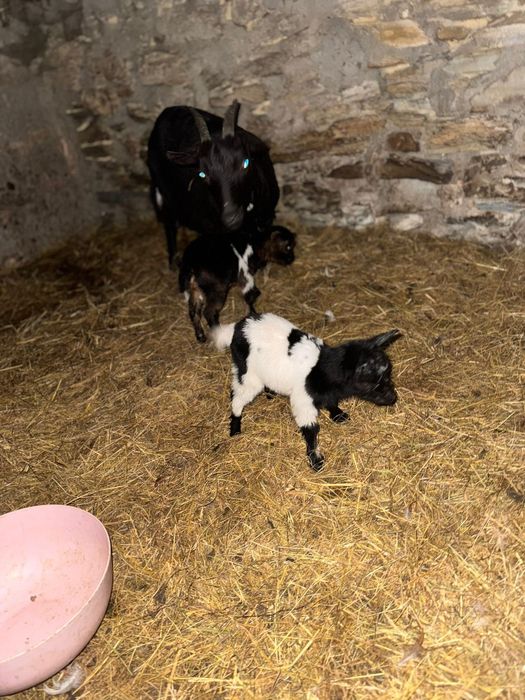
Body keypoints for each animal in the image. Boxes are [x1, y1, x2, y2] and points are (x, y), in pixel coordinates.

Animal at [147, 101, 280, 267]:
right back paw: (173, 261)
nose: (231, 218)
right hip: (164, 191)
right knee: (169, 222)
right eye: (202, 174)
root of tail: (167, 112)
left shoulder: (267, 216)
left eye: (245, 163)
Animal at [210, 313, 401, 471]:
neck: (319, 368)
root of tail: (238, 326)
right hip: (248, 372)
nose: (393, 398)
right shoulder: (302, 399)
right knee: (237, 395)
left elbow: (331, 401)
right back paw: (235, 428)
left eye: (388, 374)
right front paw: (315, 460)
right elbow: (311, 430)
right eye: (372, 383)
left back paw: (270, 394)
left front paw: (338, 415)